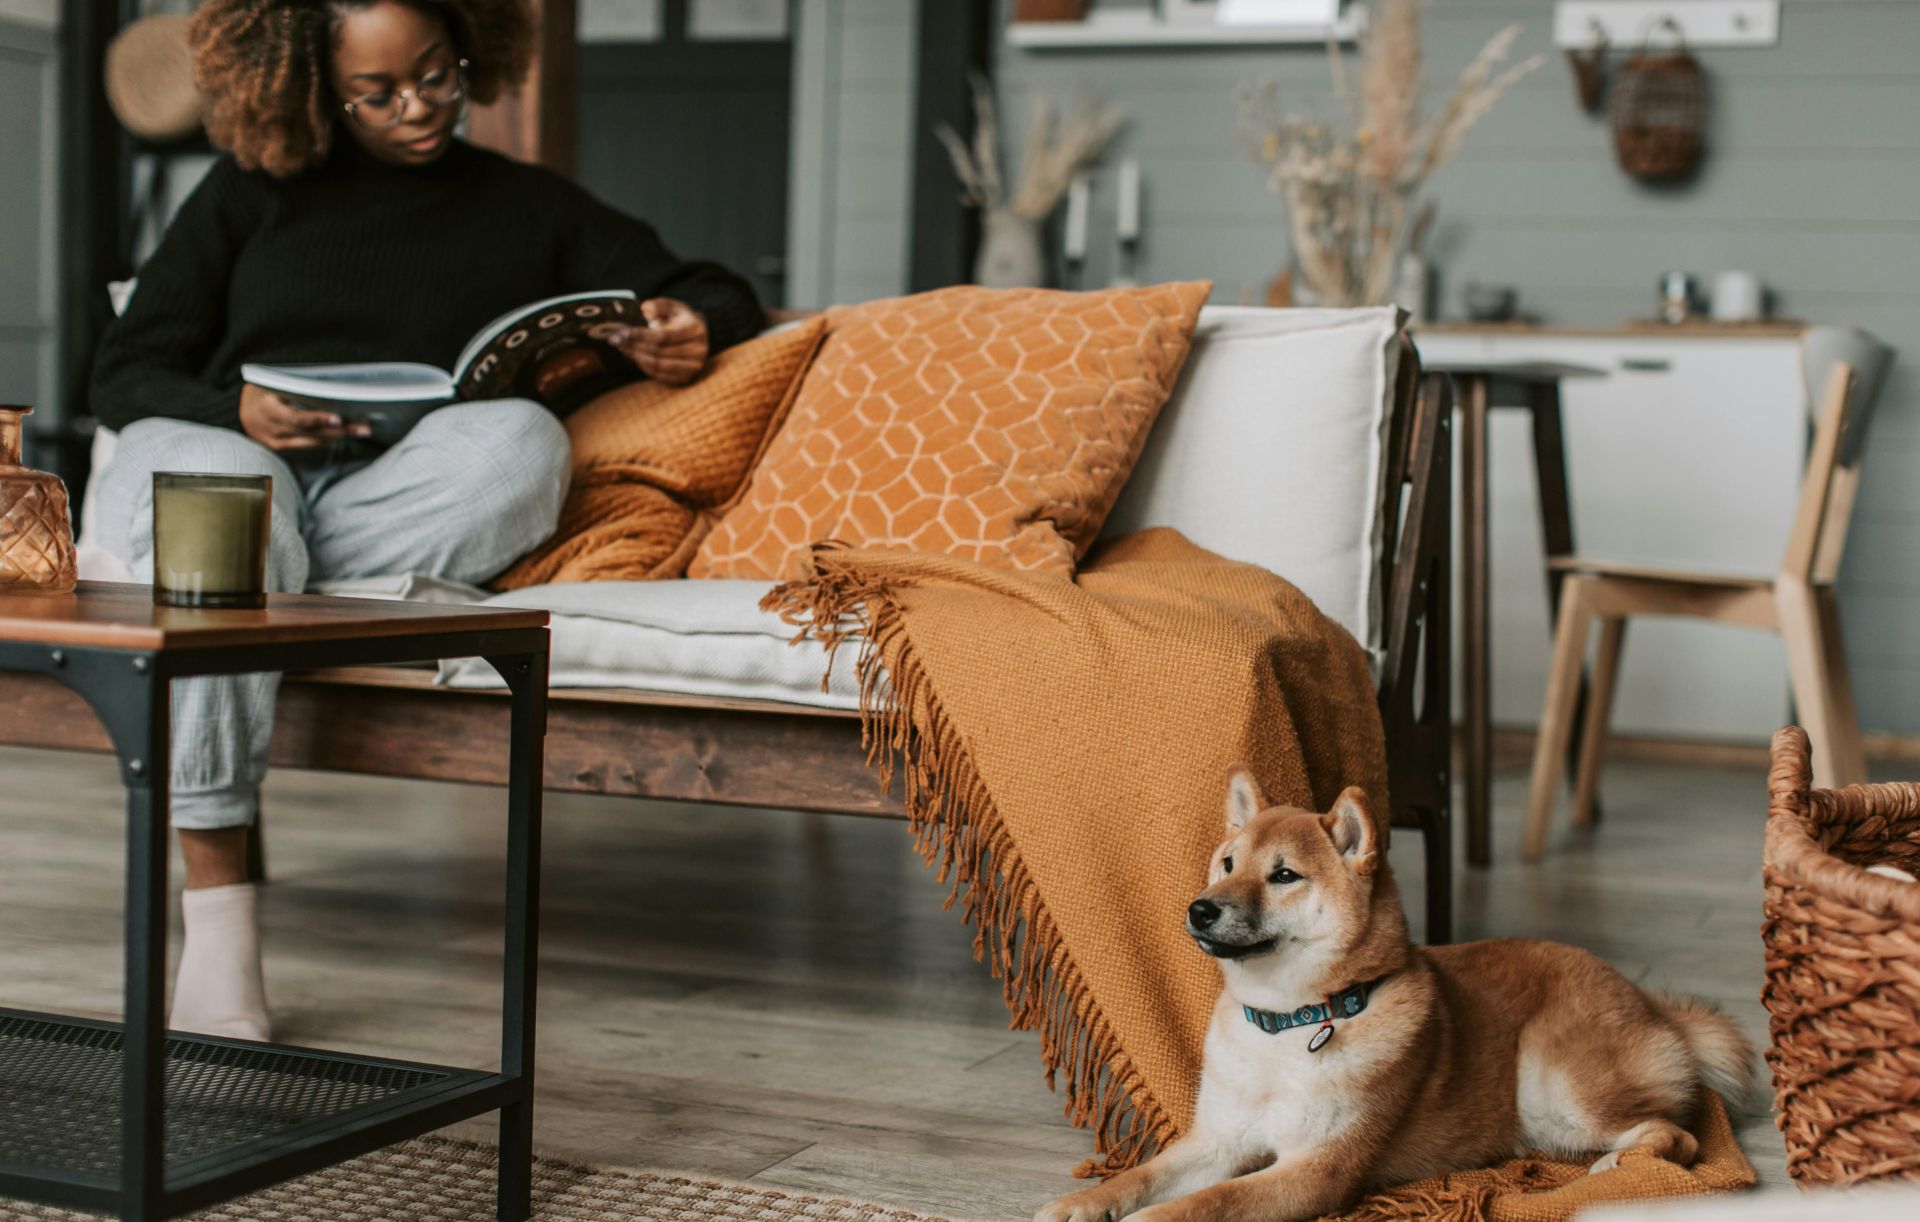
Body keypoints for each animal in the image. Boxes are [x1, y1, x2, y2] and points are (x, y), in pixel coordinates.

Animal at [1036, 772, 1758, 1222]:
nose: (1200, 909)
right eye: (1227, 863)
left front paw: (1150, 1219)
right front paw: (1082, 1203)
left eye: (1284, 876)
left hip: (1551, 1086)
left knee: (1677, 1135)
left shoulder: (1317, 1171)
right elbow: (1142, 1174)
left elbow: (1207, 1203)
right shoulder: (1215, 1140)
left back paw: (1616, 1165)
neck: (1287, 1022)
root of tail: (1647, 1001)